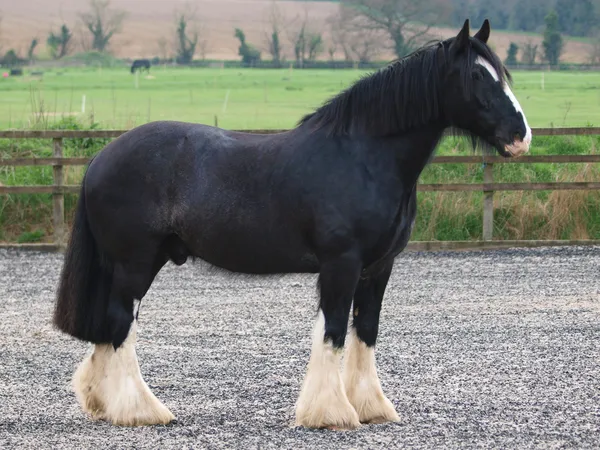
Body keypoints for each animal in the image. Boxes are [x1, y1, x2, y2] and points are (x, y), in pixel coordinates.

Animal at [51, 19, 528, 430]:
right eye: (476, 76)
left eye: (500, 73)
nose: (521, 136)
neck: (363, 156)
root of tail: (102, 158)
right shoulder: (341, 263)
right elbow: (332, 332)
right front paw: (331, 413)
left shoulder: (379, 267)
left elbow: (365, 331)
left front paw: (371, 407)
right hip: (136, 263)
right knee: (120, 325)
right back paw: (141, 411)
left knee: (108, 328)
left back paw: (102, 403)